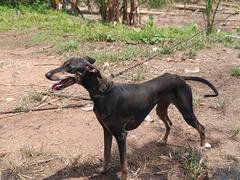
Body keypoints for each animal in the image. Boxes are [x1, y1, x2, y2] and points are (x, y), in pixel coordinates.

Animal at [45, 56, 219, 180]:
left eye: (68, 67)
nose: (46, 74)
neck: (102, 93)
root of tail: (179, 76)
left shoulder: (121, 135)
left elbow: (123, 165)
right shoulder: (106, 130)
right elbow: (106, 154)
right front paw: (103, 170)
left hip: (186, 112)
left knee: (200, 127)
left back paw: (202, 147)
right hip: (160, 109)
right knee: (169, 123)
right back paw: (163, 140)